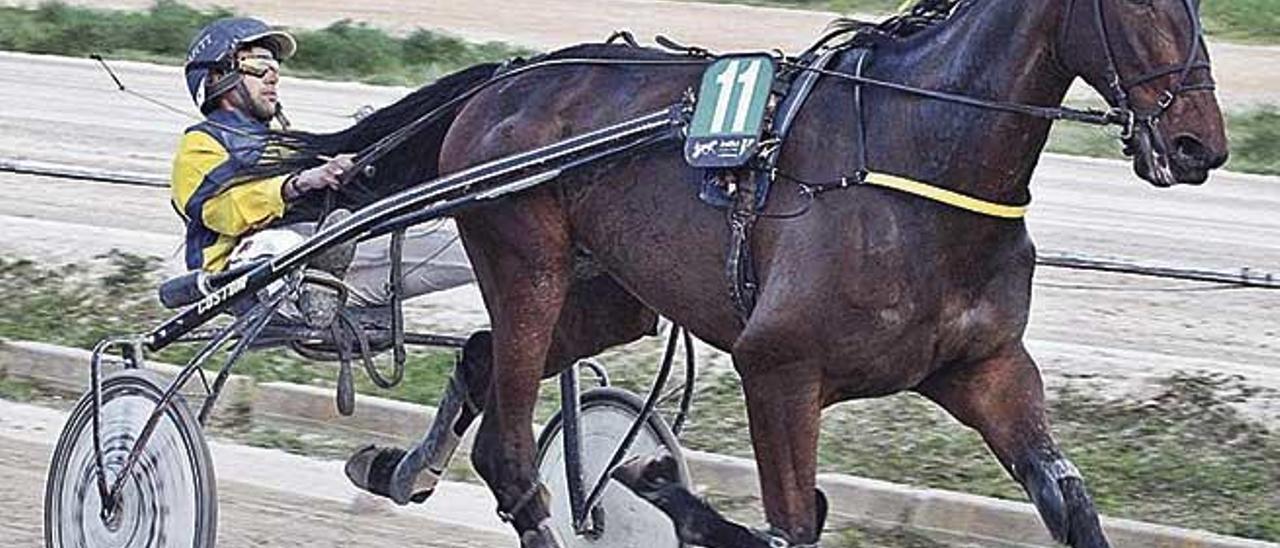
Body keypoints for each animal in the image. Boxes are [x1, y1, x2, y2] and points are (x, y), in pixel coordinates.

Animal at [304, 0, 1223, 542]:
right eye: (1141, 2)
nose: (1198, 144)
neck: (915, 156)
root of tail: (507, 78)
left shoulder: (987, 367)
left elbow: (1070, 502)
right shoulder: (779, 370)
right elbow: (787, 524)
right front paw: (661, 487)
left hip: (615, 293)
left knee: (481, 361)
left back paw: (401, 467)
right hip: (525, 260)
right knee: (510, 451)